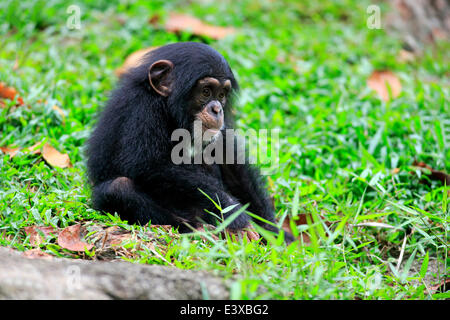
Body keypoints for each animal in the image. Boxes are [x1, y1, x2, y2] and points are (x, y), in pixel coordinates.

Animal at [87, 41, 296, 244]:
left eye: (221, 94)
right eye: (206, 91)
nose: (217, 109)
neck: (167, 107)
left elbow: (231, 164)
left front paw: (274, 233)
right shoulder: (142, 109)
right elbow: (148, 165)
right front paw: (234, 214)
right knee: (118, 188)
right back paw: (195, 229)